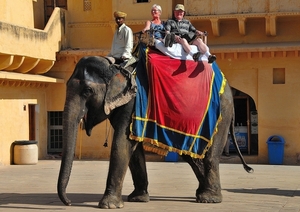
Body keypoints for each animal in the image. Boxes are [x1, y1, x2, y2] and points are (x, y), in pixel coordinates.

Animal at [56, 47, 253, 208]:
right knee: (190, 155)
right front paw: (138, 199)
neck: (117, 67)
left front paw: (108, 205)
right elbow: (133, 148)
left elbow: (121, 143)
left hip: (222, 114)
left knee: (210, 156)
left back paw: (209, 199)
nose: (69, 202)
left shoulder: (132, 100)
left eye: (87, 91)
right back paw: (201, 194)